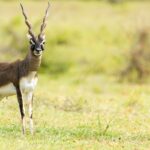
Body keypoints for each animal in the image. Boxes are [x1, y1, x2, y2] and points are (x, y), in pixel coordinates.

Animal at [0, 2, 49, 134]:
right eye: (31, 41)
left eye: (43, 42)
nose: (38, 50)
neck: (27, 70)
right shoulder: (19, 90)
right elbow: (22, 112)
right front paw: (23, 133)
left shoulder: (31, 91)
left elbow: (30, 113)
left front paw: (32, 134)